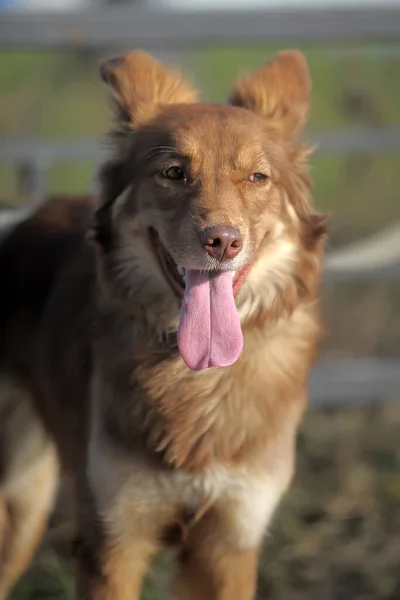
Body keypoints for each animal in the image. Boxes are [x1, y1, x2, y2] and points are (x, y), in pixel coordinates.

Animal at [0, 49, 326, 596]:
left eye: (257, 178)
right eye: (173, 172)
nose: (223, 241)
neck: (196, 379)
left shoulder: (229, 542)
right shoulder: (113, 541)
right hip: (18, 505)